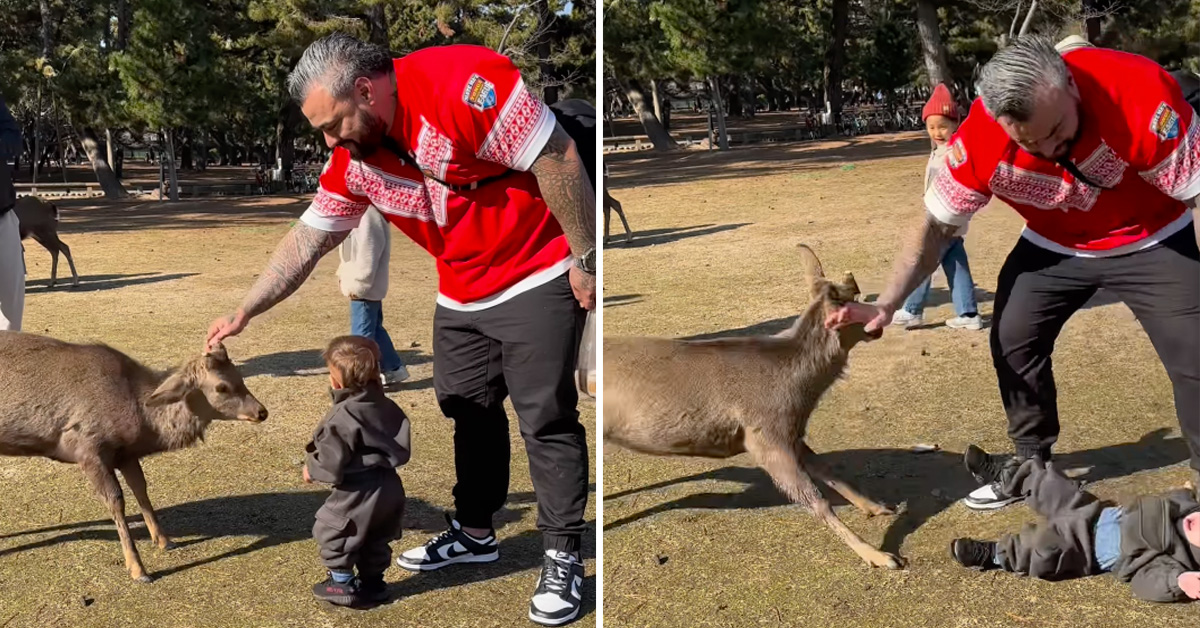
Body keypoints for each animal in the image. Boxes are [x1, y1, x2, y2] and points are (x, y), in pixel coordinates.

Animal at [0, 331, 268, 582]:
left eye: (239, 376)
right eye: (221, 387)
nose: (261, 412)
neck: (140, 419)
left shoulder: (126, 454)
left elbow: (141, 488)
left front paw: (164, 540)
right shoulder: (87, 448)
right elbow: (115, 501)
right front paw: (138, 569)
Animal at [603, 245, 905, 569]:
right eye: (856, 302)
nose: (879, 325)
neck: (800, 391)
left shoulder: (790, 433)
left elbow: (827, 469)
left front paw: (877, 506)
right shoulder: (764, 433)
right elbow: (815, 499)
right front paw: (879, 555)